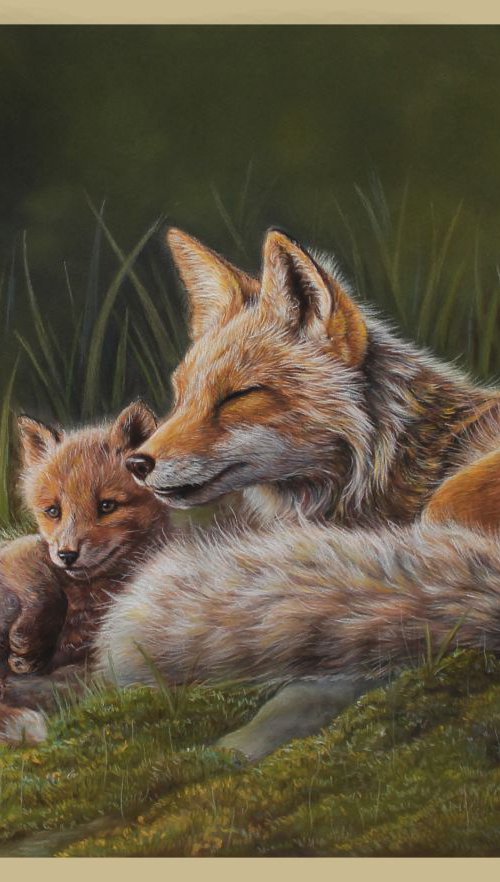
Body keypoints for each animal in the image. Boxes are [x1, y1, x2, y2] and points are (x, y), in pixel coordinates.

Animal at [0, 400, 171, 744]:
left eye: (107, 506)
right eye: (52, 510)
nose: (67, 555)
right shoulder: (17, 553)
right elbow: (42, 581)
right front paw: (27, 645)